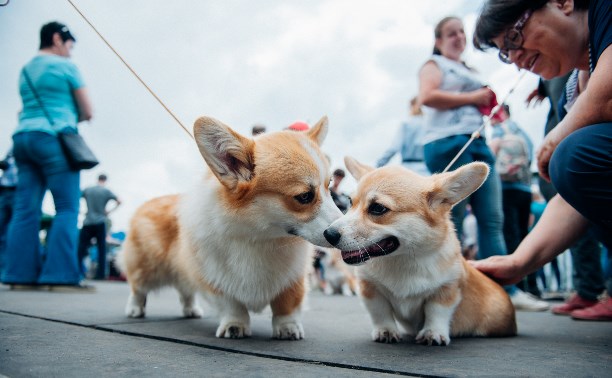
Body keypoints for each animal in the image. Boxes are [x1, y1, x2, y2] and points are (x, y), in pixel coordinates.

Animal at [117, 115, 342, 340]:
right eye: (304, 196)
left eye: (329, 186)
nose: (336, 235)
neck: (260, 237)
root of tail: (145, 205)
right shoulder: (215, 276)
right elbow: (232, 306)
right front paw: (235, 325)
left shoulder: (293, 278)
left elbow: (287, 305)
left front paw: (288, 328)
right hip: (147, 268)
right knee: (138, 288)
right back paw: (135, 309)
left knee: (185, 291)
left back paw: (191, 310)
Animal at [326, 158, 516, 346]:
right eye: (350, 202)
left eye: (378, 208)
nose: (328, 234)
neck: (402, 259)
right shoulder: (370, 288)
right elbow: (380, 312)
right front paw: (385, 331)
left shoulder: (447, 288)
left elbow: (436, 311)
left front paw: (433, 333)